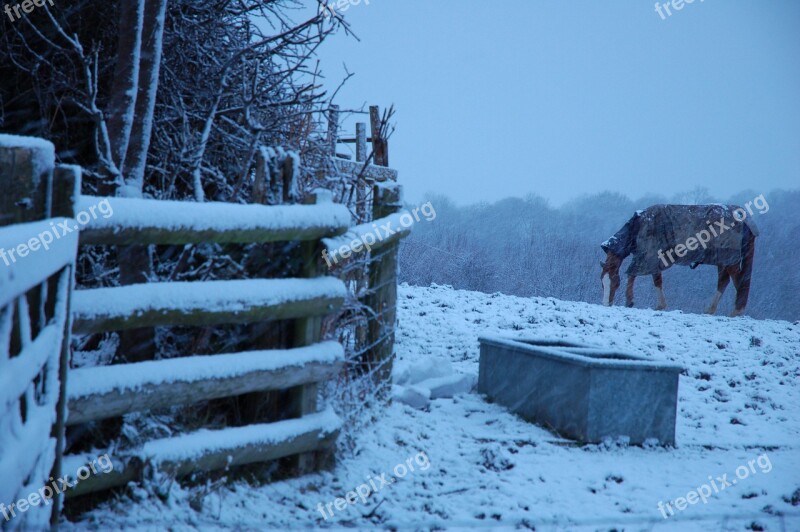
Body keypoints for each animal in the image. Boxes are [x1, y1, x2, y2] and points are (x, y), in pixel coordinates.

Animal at [600, 205, 756, 316]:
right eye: (602, 284)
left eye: (616, 283)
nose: (606, 304)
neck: (637, 226)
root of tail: (743, 220)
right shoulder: (652, 259)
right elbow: (655, 279)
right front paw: (658, 305)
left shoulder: (648, 256)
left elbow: (636, 275)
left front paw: (631, 301)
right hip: (723, 260)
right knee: (724, 281)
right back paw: (710, 310)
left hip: (730, 259)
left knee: (739, 280)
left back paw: (737, 311)